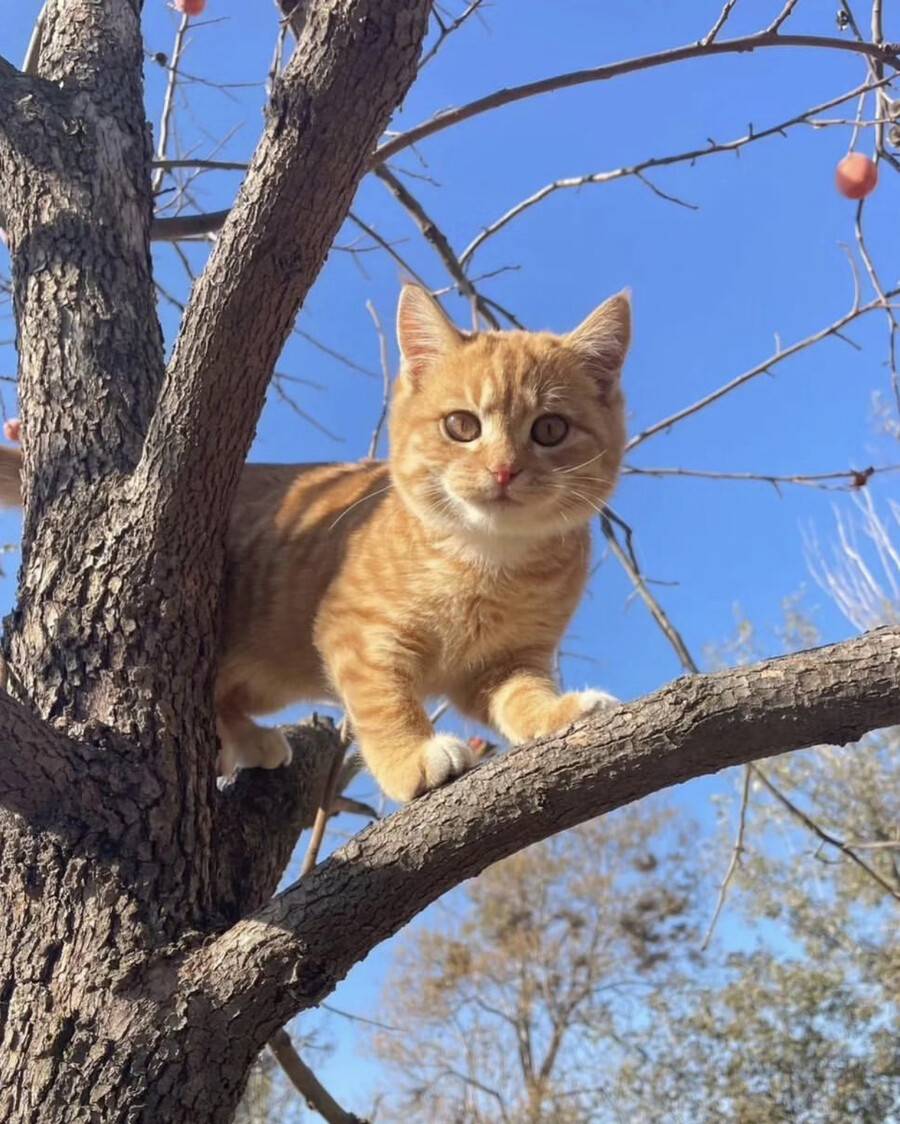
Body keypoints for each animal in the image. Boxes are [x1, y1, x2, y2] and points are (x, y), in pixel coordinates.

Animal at [0, 285, 629, 804]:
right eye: (462, 426)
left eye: (550, 430)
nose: (504, 470)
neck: (486, 560)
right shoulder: (354, 630)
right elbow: (383, 698)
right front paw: (411, 757)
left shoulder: (505, 662)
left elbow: (519, 695)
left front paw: (559, 711)